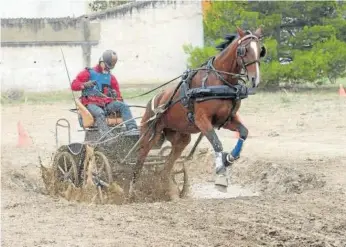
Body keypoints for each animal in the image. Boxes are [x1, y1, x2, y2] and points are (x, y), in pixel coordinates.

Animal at [131, 27, 266, 200]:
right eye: (244, 50)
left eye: (260, 50)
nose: (255, 79)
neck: (218, 82)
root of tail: (154, 99)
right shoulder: (202, 120)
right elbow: (217, 143)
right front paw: (221, 175)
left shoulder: (227, 119)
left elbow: (244, 132)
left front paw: (229, 159)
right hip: (150, 135)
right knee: (140, 160)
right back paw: (132, 191)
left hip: (180, 139)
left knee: (166, 167)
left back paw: (170, 192)